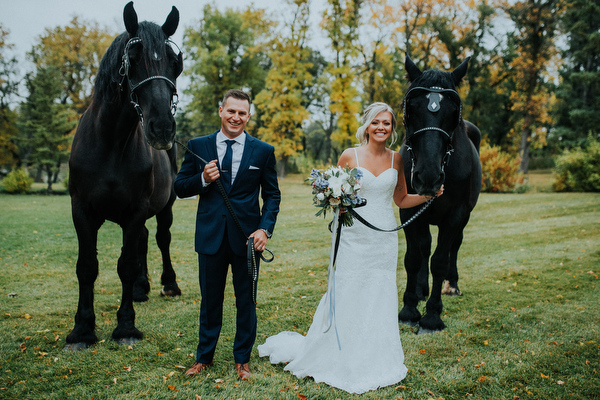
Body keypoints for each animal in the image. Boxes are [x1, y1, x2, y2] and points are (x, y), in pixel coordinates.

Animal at [66, 1, 183, 348]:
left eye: (175, 63)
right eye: (132, 58)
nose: (162, 128)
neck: (111, 144)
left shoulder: (135, 211)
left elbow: (127, 265)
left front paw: (126, 327)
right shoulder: (81, 211)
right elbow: (87, 266)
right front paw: (82, 329)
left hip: (165, 207)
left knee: (160, 238)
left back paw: (167, 283)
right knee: (144, 239)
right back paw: (142, 288)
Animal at [398, 54, 482, 334]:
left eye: (453, 113)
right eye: (410, 109)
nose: (428, 176)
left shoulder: (456, 214)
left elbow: (440, 260)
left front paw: (432, 315)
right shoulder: (408, 211)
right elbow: (414, 257)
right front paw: (409, 308)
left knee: (454, 246)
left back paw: (451, 284)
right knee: (424, 247)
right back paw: (420, 289)